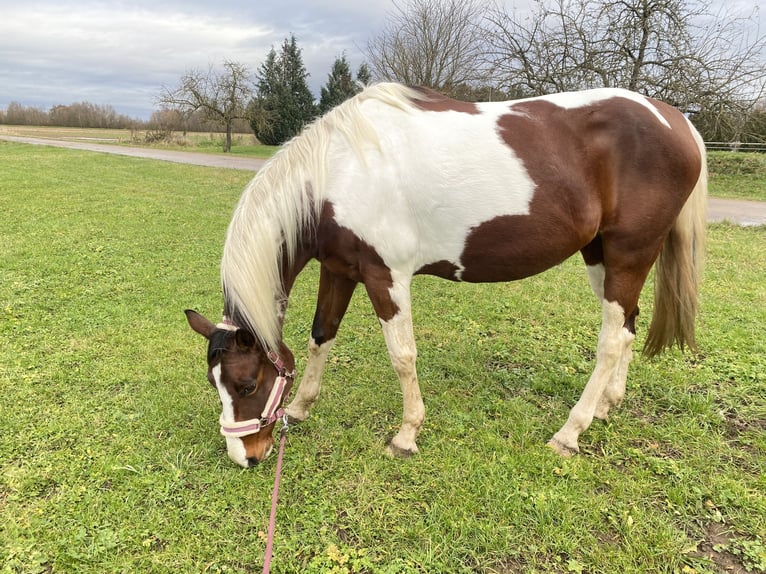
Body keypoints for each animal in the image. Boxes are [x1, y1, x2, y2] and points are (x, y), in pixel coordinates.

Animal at [186, 83, 707, 468]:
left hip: (628, 255)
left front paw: (406, 434)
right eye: (214, 384)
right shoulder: (339, 270)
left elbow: (402, 356)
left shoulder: (386, 277)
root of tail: (678, 121)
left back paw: (570, 432)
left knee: (611, 341)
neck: (340, 172)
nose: (244, 457)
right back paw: (606, 405)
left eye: (246, 385)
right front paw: (299, 408)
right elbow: (320, 337)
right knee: (628, 326)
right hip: (603, 257)